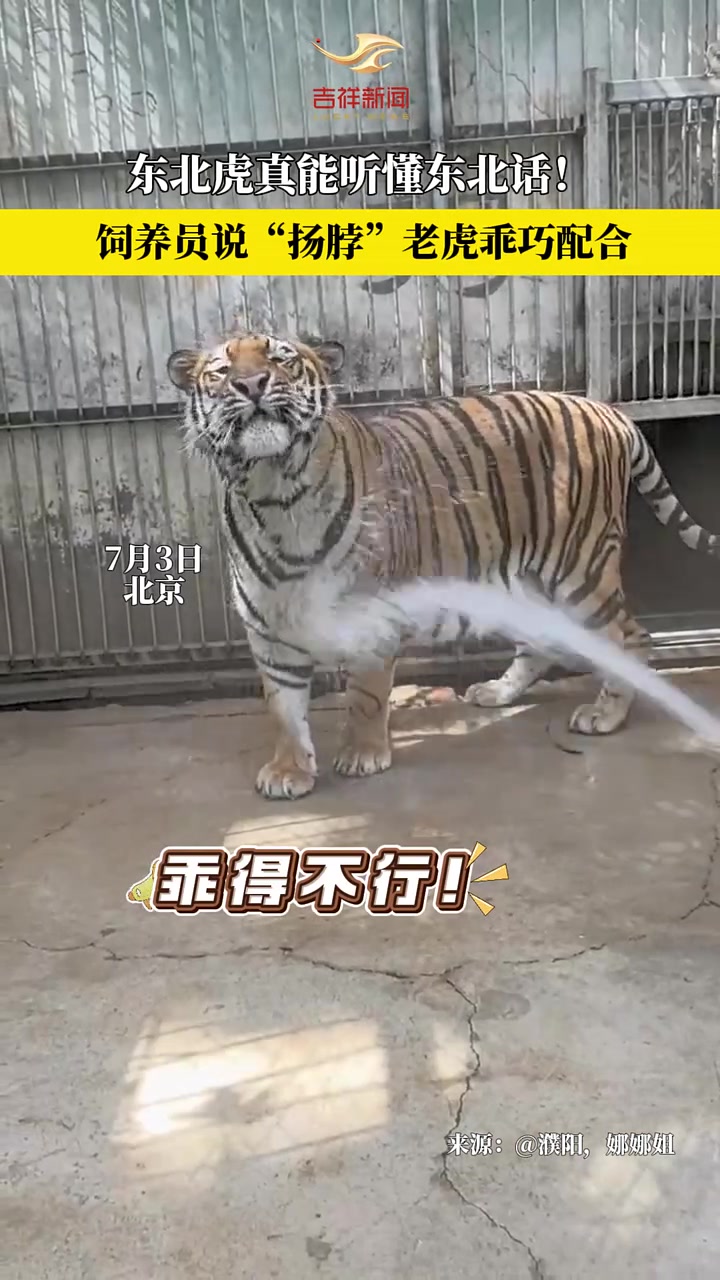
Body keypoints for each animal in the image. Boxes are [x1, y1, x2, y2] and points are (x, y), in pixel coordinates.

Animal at [167, 332, 720, 801]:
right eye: (221, 370)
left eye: (281, 359)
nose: (251, 384)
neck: (275, 492)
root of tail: (606, 409)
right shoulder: (268, 625)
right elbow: (282, 708)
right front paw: (289, 770)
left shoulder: (373, 613)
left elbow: (366, 694)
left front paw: (364, 754)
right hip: (528, 578)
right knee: (542, 642)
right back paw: (497, 692)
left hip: (579, 567)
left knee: (630, 638)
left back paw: (605, 713)